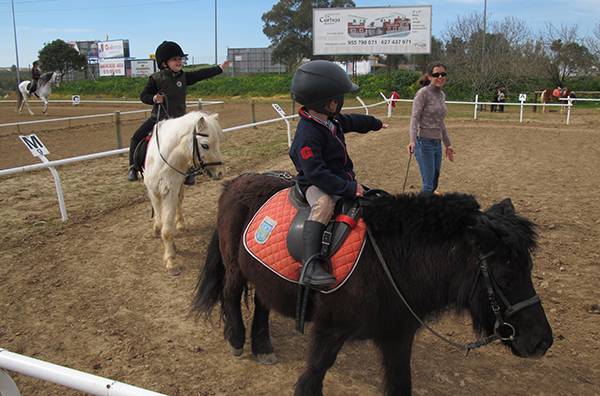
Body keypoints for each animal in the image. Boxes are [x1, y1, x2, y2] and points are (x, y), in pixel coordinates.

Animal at [143, 110, 225, 274]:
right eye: (205, 145)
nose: (220, 173)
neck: (162, 162)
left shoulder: (171, 191)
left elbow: (167, 228)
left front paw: (170, 260)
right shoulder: (154, 192)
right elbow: (160, 222)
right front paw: (159, 233)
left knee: (179, 202)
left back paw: (180, 223)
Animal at [193, 174, 552, 396]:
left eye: (529, 270)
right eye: (505, 277)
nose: (542, 341)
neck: (390, 260)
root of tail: (236, 181)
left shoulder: (397, 336)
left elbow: (400, 385)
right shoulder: (330, 331)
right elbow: (311, 381)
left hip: (266, 275)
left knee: (263, 305)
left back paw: (263, 347)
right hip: (235, 266)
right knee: (230, 295)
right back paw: (236, 339)